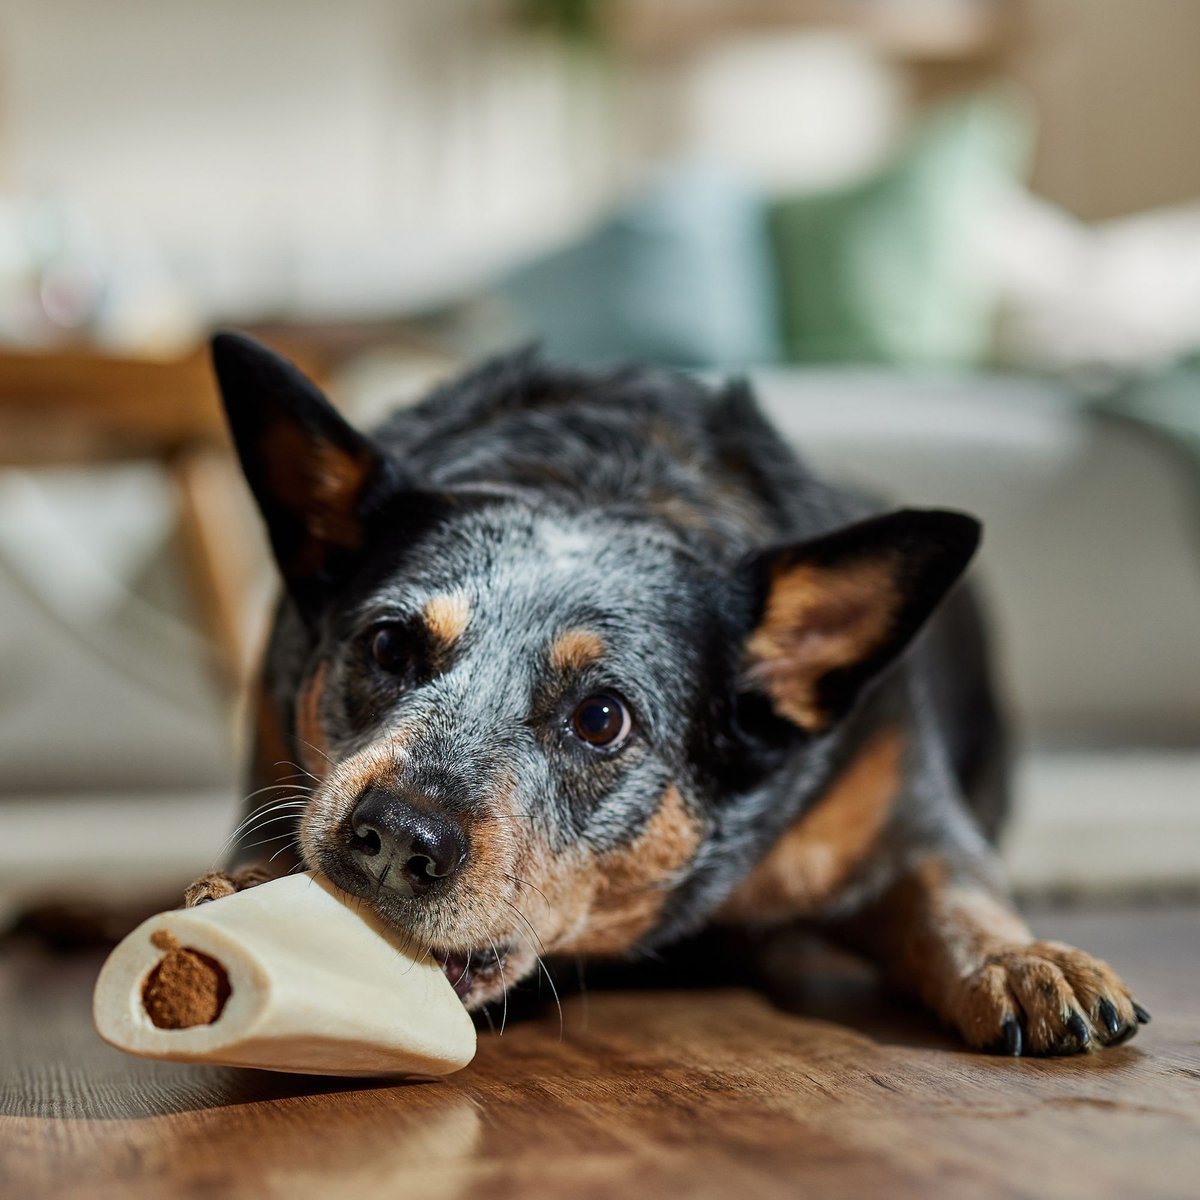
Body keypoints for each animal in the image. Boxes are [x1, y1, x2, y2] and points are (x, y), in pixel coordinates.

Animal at [184, 333, 1142, 1056]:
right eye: (388, 646)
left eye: (601, 719)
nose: (393, 837)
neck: (611, 476)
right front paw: (251, 886)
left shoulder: (898, 806)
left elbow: (955, 890)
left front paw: (1023, 960)